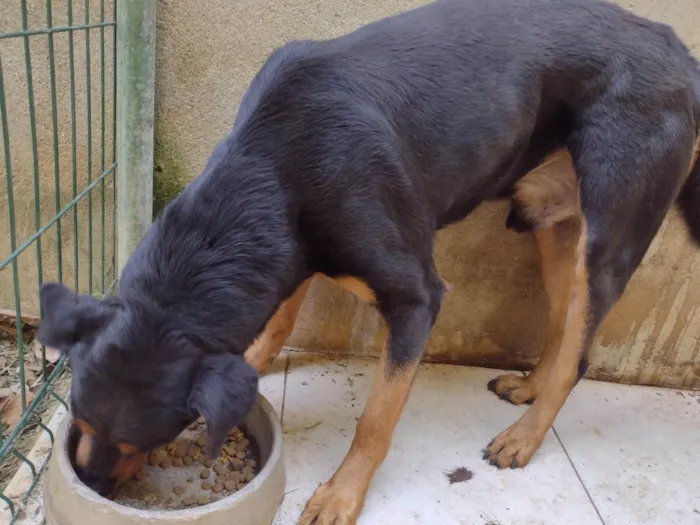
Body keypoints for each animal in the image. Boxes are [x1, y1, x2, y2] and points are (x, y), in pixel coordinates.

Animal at [37, 0, 700, 520]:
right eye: (79, 420)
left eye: (134, 441)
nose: (88, 482)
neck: (270, 164)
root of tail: (678, 49)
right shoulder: (289, 254)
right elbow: (274, 324)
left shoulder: (416, 298)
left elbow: (377, 418)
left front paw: (340, 495)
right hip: (557, 231)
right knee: (564, 328)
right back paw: (530, 388)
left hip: (607, 237)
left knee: (580, 355)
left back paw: (525, 439)